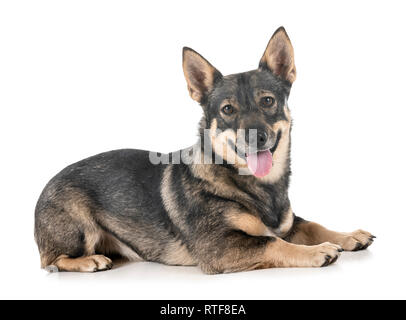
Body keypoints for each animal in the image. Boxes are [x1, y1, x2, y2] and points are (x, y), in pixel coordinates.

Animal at [34, 26, 374, 274]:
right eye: (227, 110)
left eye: (267, 101)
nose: (256, 136)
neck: (255, 185)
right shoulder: (220, 247)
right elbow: (273, 244)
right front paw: (318, 251)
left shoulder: (287, 224)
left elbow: (312, 225)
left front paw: (349, 236)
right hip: (79, 230)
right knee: (52, 261)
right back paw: (90, 261)